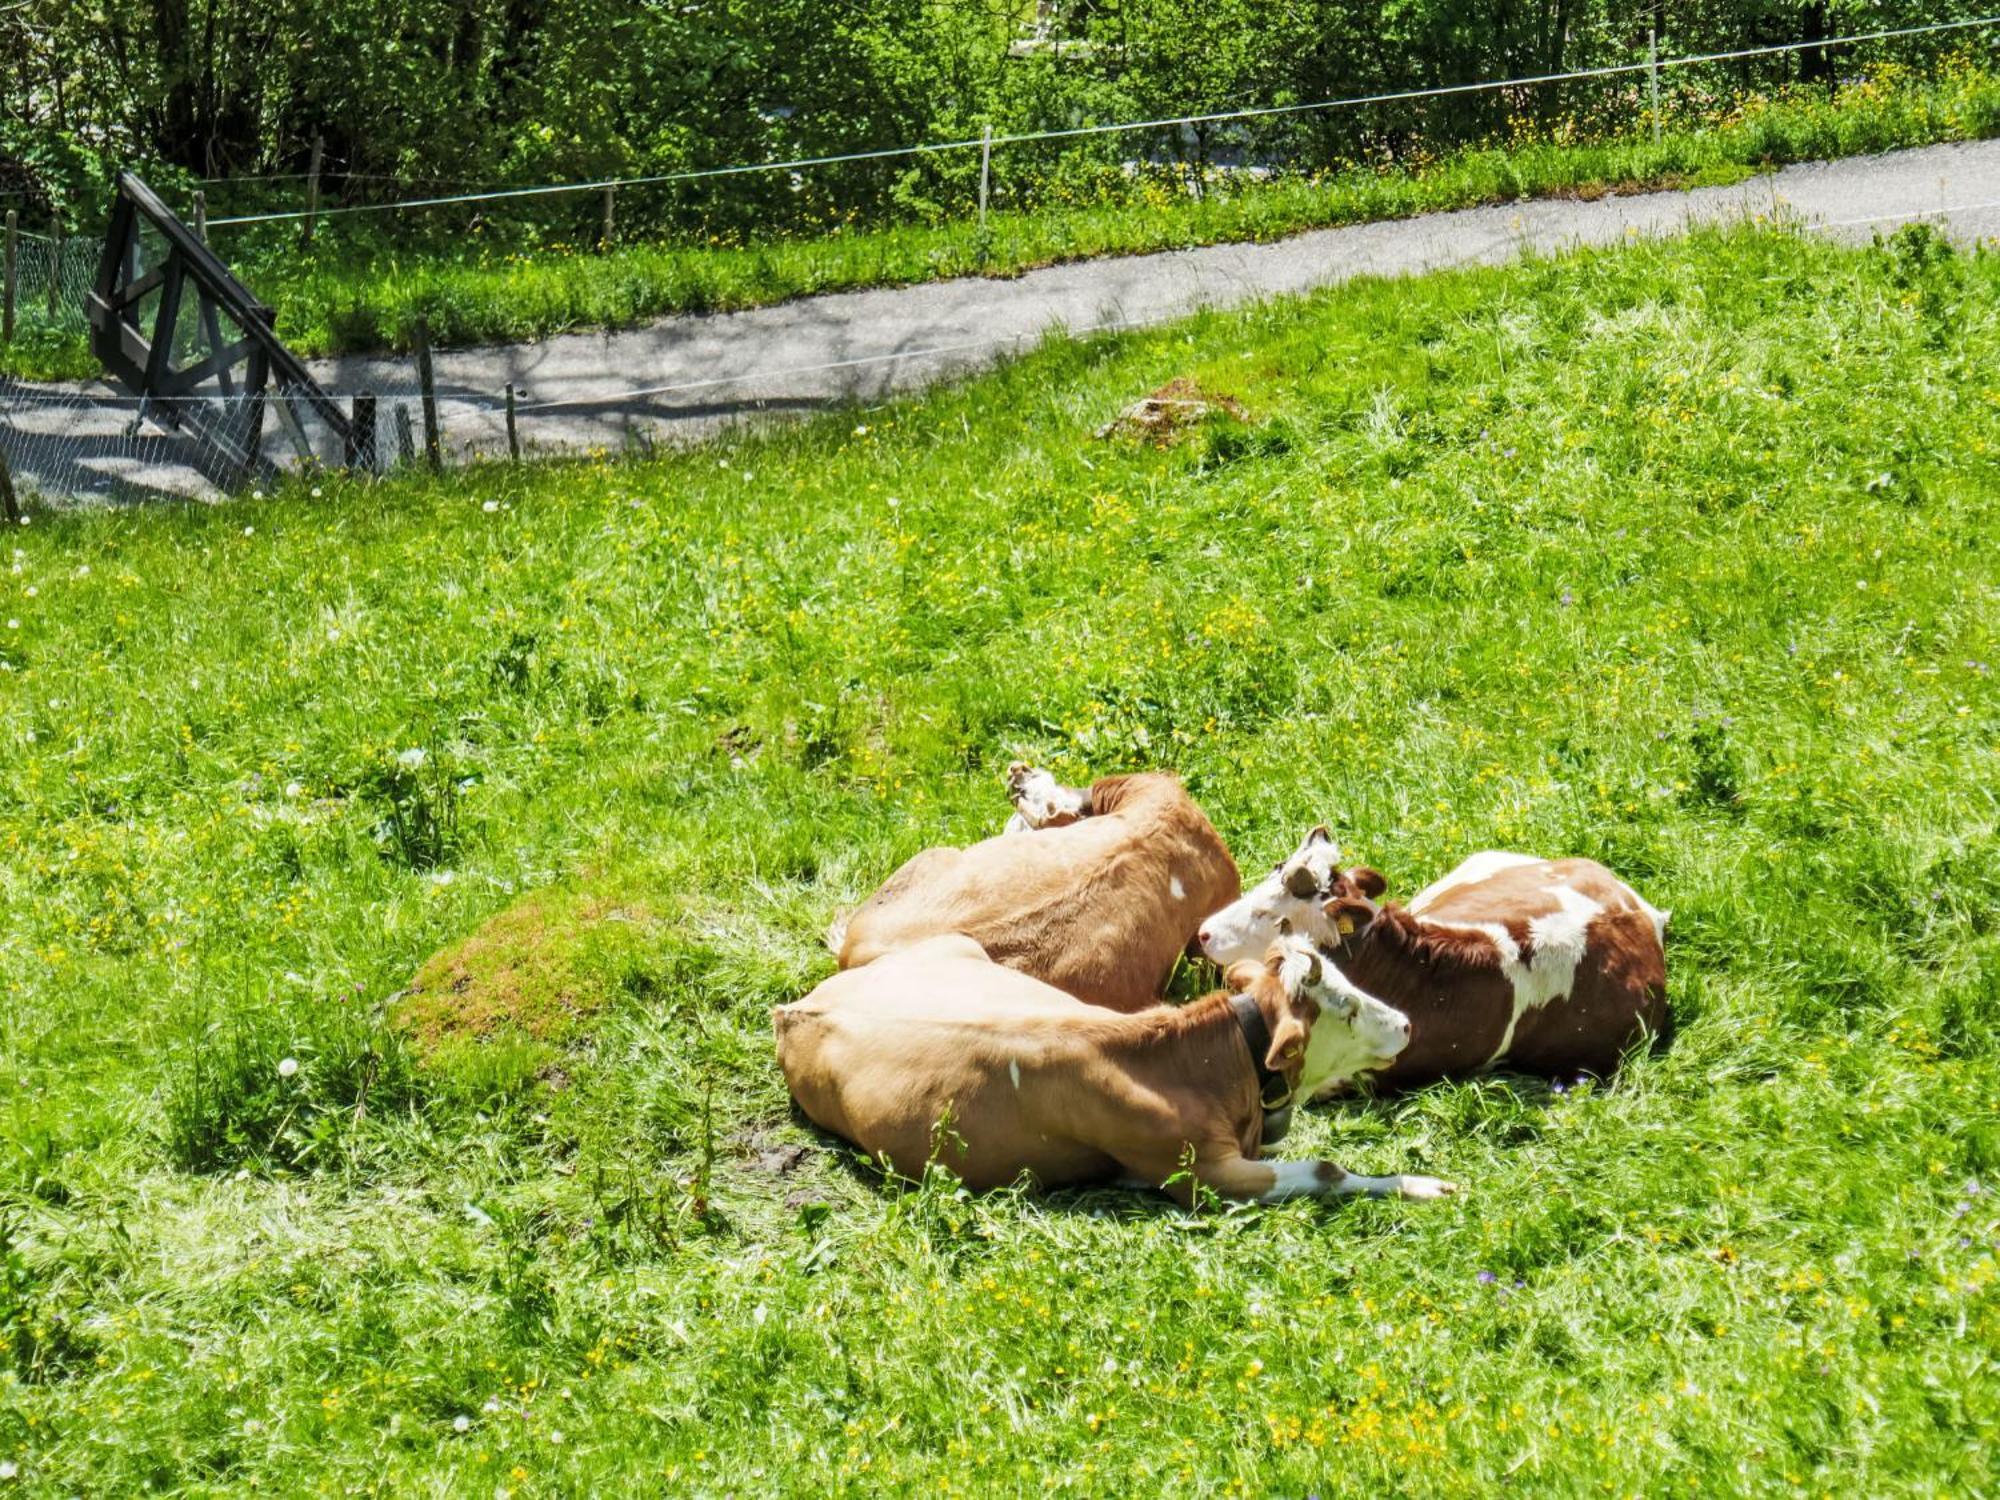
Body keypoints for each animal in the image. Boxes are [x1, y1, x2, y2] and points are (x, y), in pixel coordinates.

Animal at [772, 928, 1448, 1208]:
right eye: (1346, 1008)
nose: (1408, 1024)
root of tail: (797, 1007)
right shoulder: (1203, 1177)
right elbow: (1328, 1169)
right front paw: (1421, 1186)